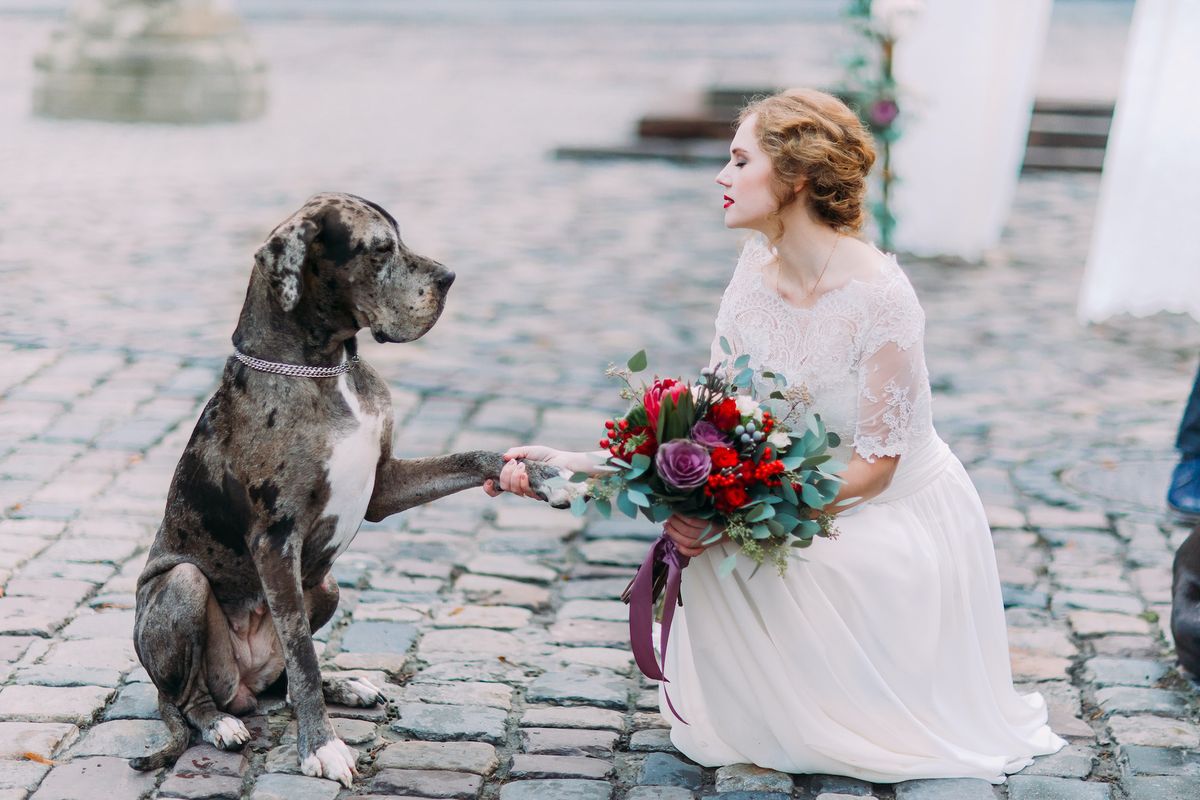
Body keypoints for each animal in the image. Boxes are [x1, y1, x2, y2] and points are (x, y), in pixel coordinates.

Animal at [133, 191, 564, 782]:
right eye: (380, 249)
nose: (449, 277)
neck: (326, 369)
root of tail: (242, 686)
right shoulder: (275, 542)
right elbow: (302, 655)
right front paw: (321, 747)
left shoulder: (383, 487)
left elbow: (472, 456)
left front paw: (534, 474)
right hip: (184, 586)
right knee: (193, 695)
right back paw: (219, 722)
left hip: (327, 584)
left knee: (280, 684)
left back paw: (344, 685)